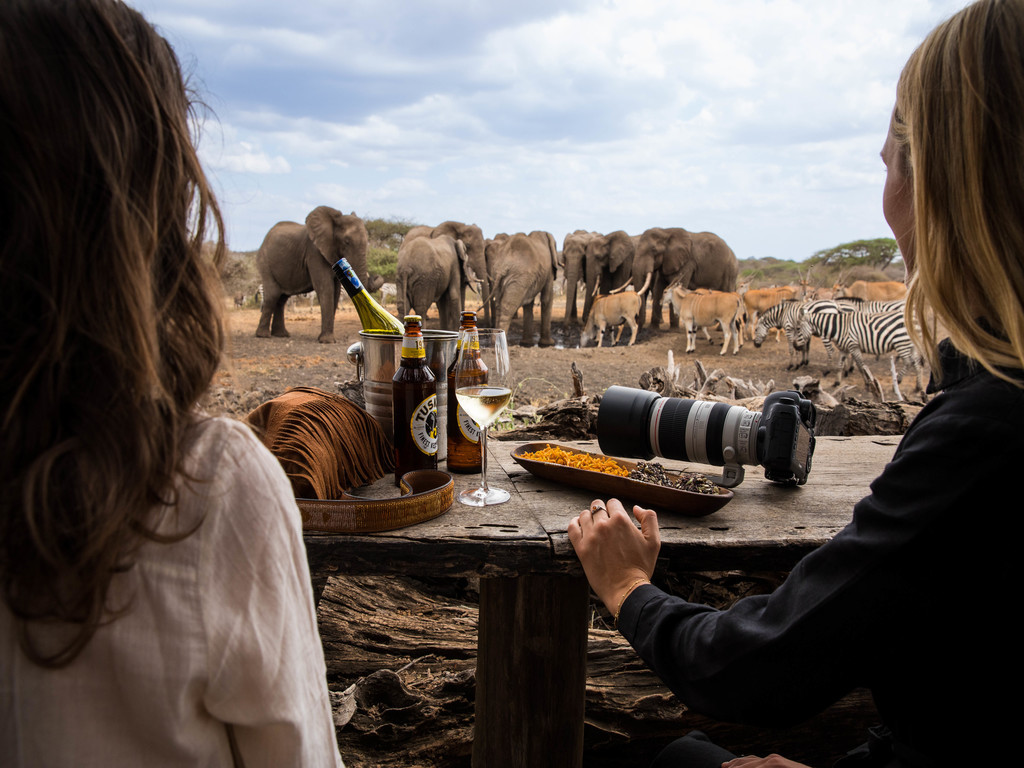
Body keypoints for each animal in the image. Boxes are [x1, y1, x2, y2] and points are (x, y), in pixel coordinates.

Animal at [255, 206, 381, 344]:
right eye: (347, 242)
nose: (375, 276)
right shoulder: (314, 252)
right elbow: (326, 288)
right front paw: (327, 341)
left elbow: (336, 292)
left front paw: (324, 339)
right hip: (265, 263)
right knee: (273, 295)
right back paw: (263, 335)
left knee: (282, 298)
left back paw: (281, 335)